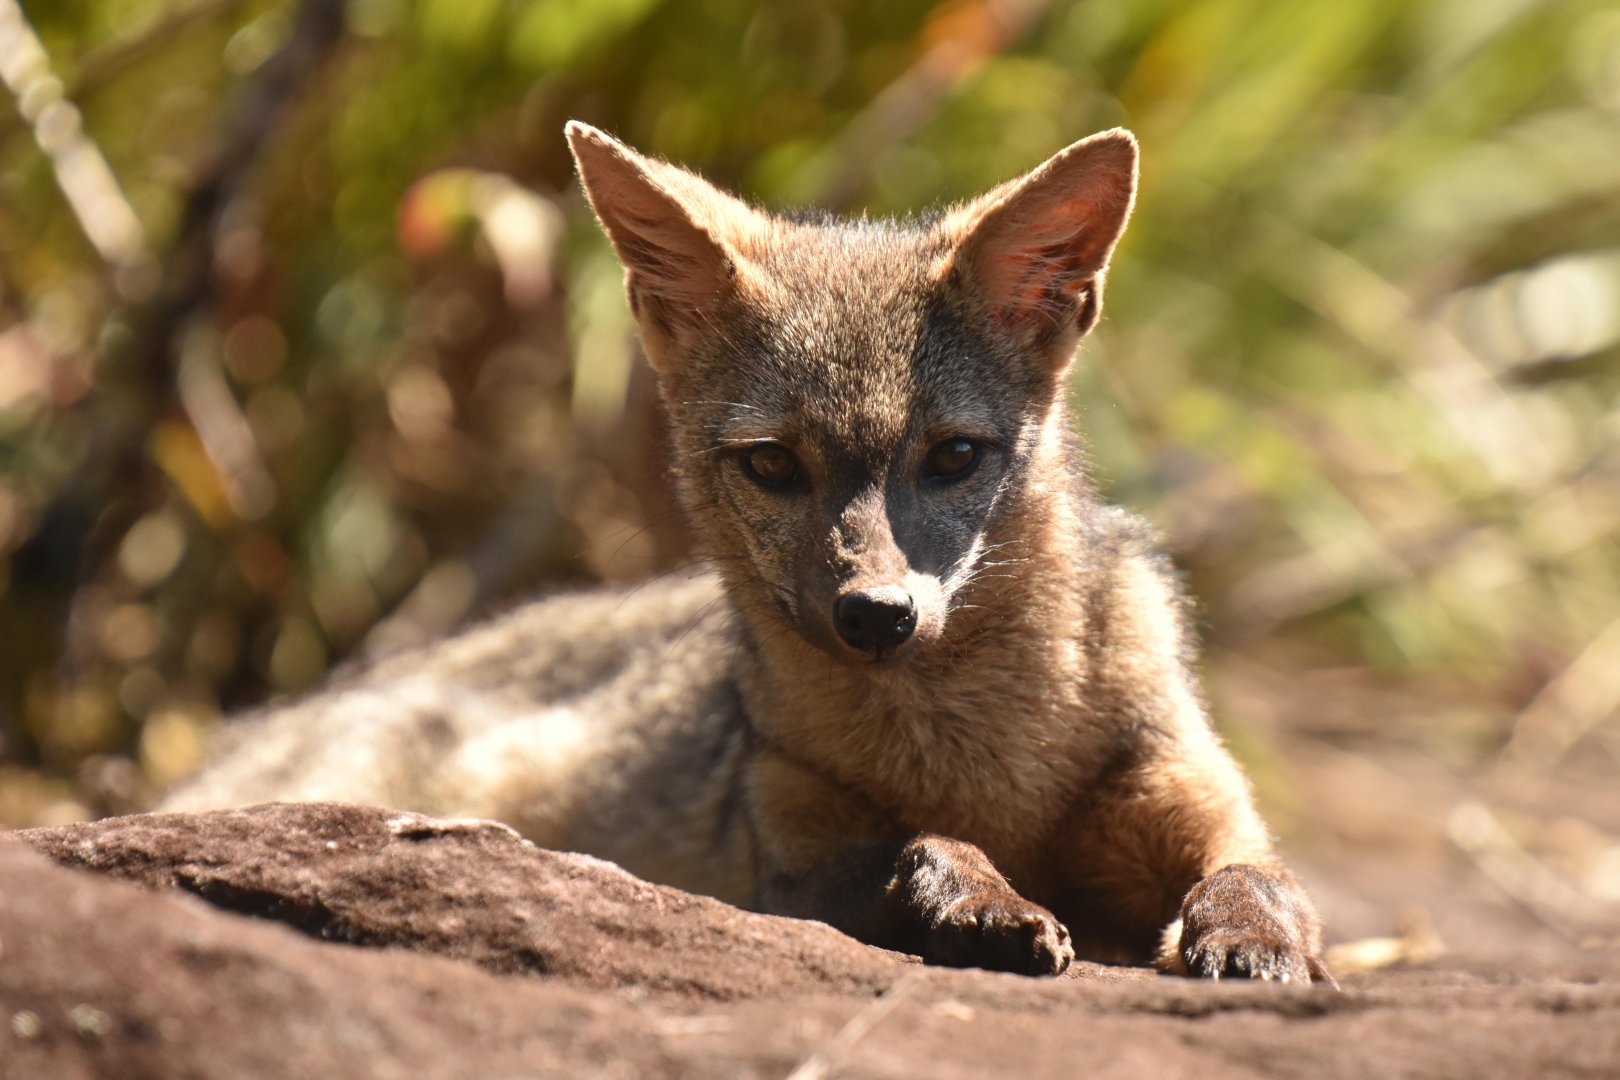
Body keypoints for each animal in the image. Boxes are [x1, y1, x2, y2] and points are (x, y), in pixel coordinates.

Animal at [162, 121, 1330, 982]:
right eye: (772, 465)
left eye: (954, 456)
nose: (877, 614)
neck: (987, 762)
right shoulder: (791, 863)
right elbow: (917, 846)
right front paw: (981, 899)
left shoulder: (1201, 800)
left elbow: (1266, 876)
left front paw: (1253, 938)